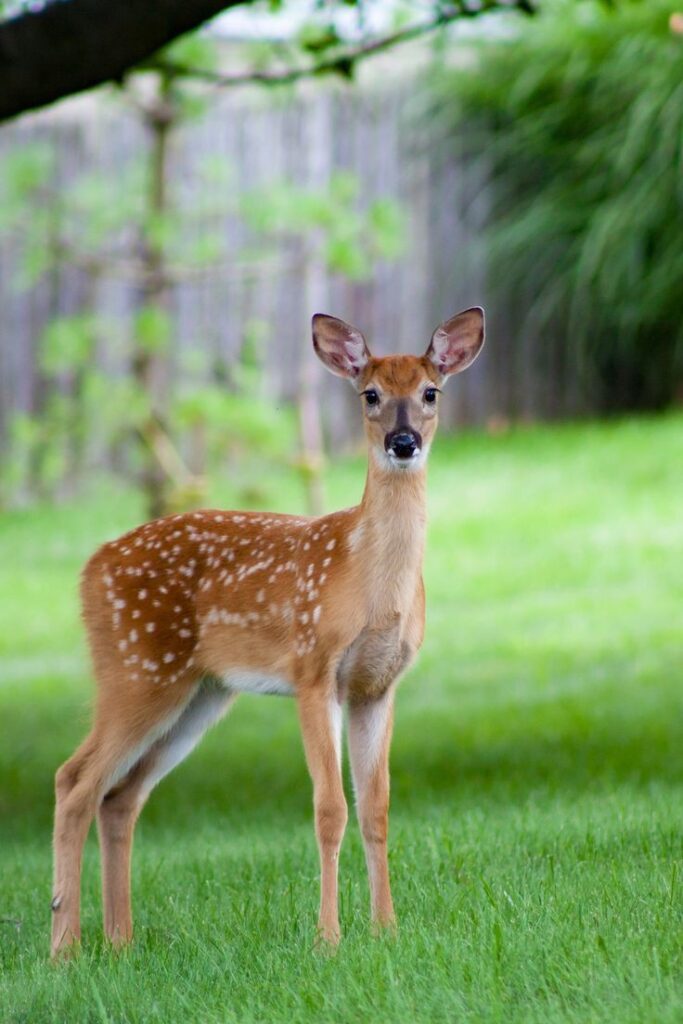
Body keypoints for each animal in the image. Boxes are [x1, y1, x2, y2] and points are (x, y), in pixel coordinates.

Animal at [49, 301, 485, 950]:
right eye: (370, 395)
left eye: (430, 392)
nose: (402, 442)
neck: (369, 581)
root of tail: (89, 569)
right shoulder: (313, 669)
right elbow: (330, 808)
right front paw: (328, 938)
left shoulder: (378, 686)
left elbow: (376, 807)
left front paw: (386, 929)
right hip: (135, 668)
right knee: (74, 780)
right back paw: (66, 948)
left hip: (198, 694)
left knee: (120, 795)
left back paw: (120, 942)